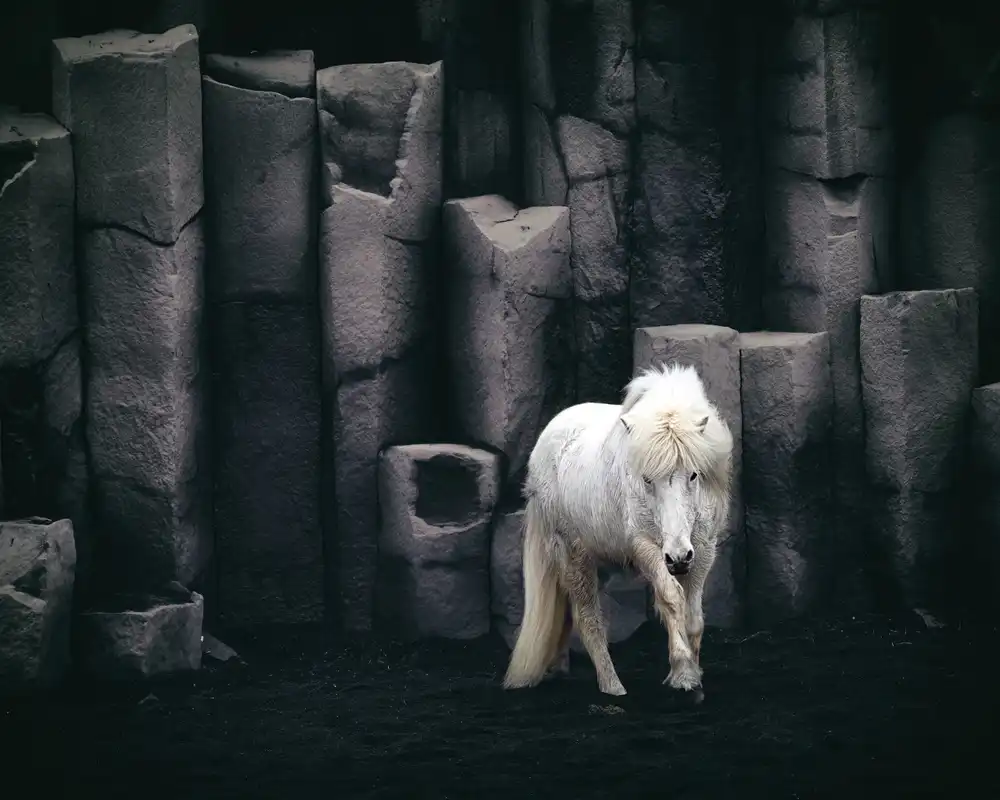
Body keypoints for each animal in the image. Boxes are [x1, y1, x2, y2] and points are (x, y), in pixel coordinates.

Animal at [502, 362, 734, 696]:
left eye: (693, 475)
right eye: (647, 479)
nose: (678, 557)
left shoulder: (703, 549)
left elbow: (694, 618)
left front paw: (692, 671)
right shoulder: (647, 548)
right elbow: (671, 599)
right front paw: (683, 672)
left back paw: (559, 667)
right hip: (574, 556)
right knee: (587, 618)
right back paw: (612, 686)